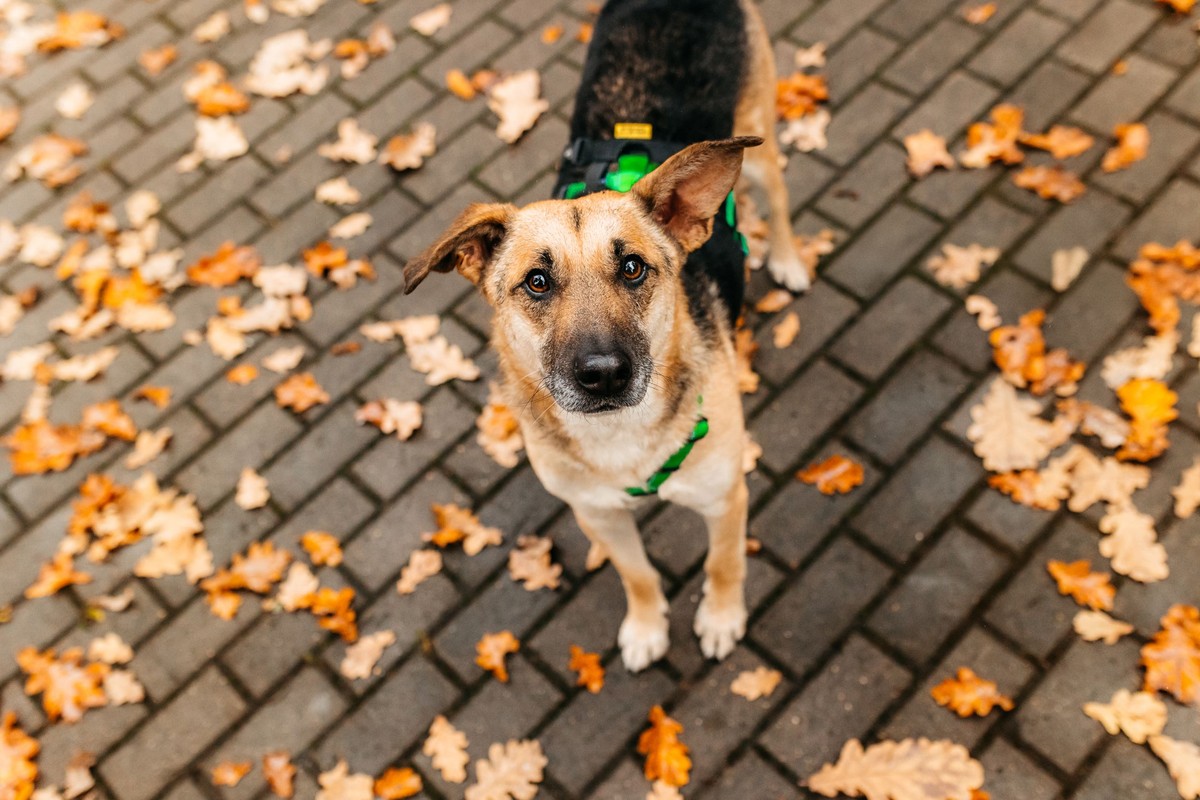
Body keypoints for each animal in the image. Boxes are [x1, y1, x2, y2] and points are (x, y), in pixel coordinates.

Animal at [403, 0, 804, 671]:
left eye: (634, 268)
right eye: (537, 283)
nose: (603, 375)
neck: (619, 436)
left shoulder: (725, 497)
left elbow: (724, 564)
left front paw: (722, 617)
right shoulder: (598, 515)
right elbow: (637, 575)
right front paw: (645, 627)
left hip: (762, 146)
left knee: (776, 197)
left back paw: (791, 257)